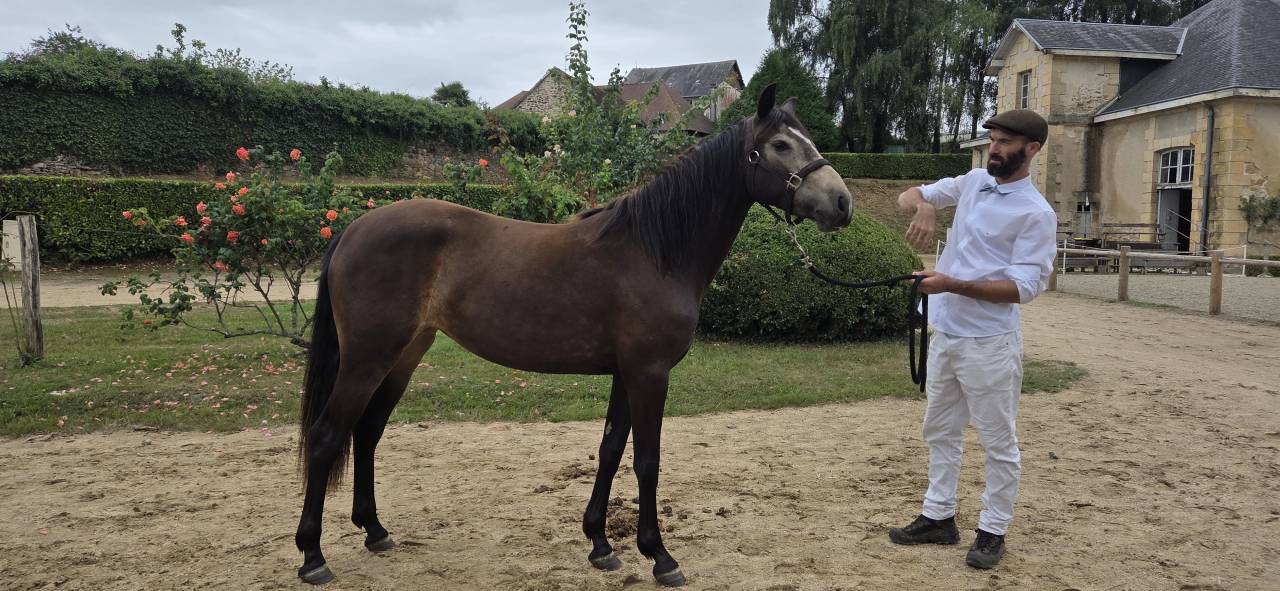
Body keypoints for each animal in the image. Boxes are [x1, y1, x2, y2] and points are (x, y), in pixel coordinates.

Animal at [293, 84, 854, 587]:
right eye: (780, 145)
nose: (842, 203)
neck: (654, 252)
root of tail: (352, 228)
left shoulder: (626, 374)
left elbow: (610, 450)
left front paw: (601, 545)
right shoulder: (649, 373)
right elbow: (647, 461)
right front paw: (660, 556)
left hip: (404, 355)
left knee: (366, 432)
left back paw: (375, 531)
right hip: (368, 357)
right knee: (327, 436)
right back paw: (313, 556)